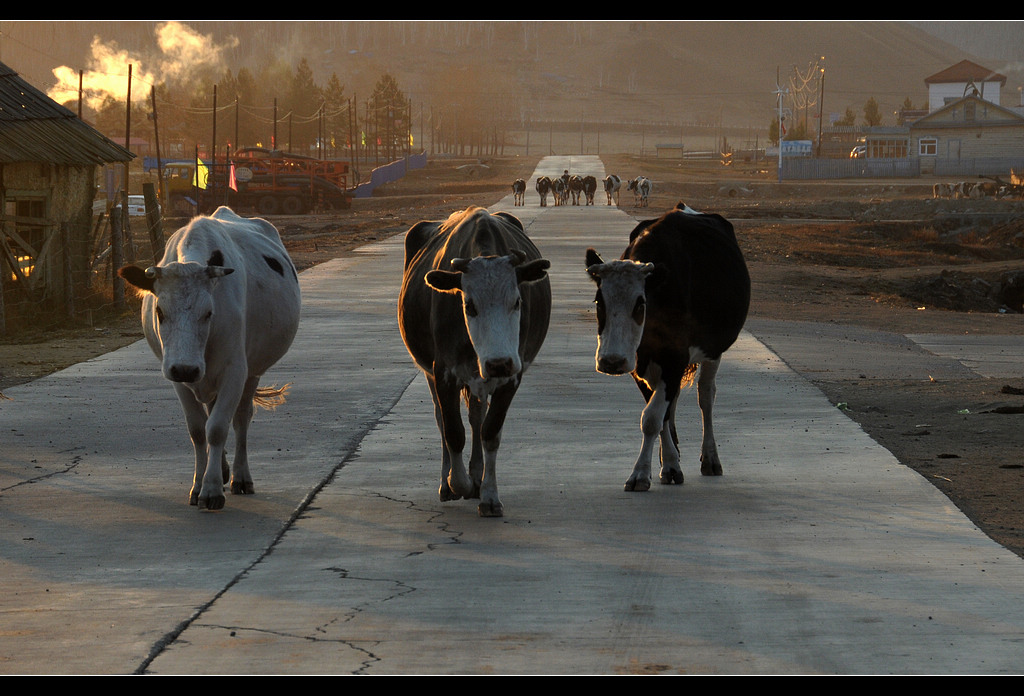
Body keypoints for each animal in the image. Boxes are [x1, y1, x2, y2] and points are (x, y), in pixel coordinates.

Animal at [119, 206, 301, 511]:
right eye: (159, 311)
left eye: (208, 313)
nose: (185, 368)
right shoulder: (177, 377)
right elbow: (198, 430)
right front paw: (198, 484)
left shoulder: (235, 371)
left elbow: (216, 428)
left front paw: (212, 488)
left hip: (252, 372)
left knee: (240, 419)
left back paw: (240, 476)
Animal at [397, 206, 552, 515]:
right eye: (469, 305)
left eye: (517, 301)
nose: (498, 362)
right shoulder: (444, 373)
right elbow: (453, 432)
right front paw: (457, 483)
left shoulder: (511, 377)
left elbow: (490, 432)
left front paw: (489, 495)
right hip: (432, 374)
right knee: (442, 420)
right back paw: (449, 483)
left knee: (477, 418)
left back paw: (478, 476)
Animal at [585, 203, 753, 491]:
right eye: (599, 302)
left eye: (640, 304)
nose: (611, 361)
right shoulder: (639, 363)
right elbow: (657, 416)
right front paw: (669, 465)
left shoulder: (675, 356)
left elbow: (652, 417)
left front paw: (641, 473)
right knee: (671, 404)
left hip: (713, 351)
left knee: (706, 396)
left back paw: (710, 458)